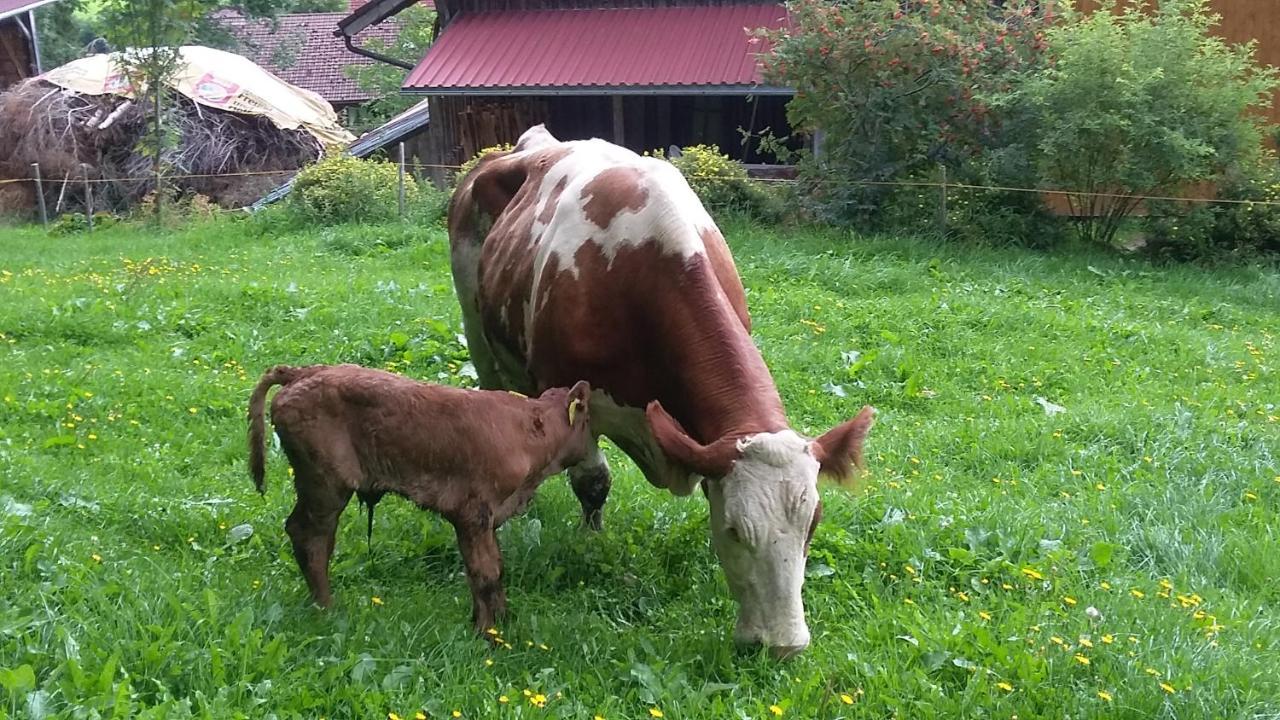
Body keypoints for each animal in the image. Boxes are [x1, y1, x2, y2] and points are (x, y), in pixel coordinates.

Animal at [245, 361, 593, 630]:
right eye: (586, 418)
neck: (527, 430)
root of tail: (302, 372)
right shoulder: (472, 514)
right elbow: (485, 572)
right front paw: (487, 632)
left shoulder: (488, 519)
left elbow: (491, 567)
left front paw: (499, 619)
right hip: (324, 488)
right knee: (309, 537)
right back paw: (327, 608)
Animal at [445, 124, 875, 655]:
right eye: (734, 530)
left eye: (812, 524)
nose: (783, 645)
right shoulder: (567, 392)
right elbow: (593, 483)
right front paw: (591, 542)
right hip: (476, 328)